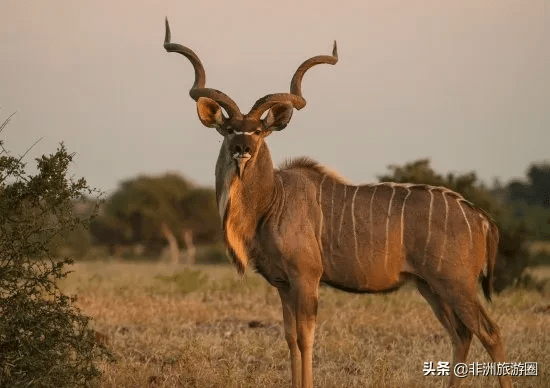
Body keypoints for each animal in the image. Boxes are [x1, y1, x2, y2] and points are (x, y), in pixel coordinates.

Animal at [164, 19, 512, 388]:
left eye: (258, 130)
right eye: (229, 129)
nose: (242, 148)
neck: (272, 201)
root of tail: (481, 218)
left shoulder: (306, 277)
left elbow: (306, 337)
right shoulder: (283, 284)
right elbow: (290, 338)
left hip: (456, 283)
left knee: (490, 332)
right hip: (430, 286)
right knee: (461, 333)